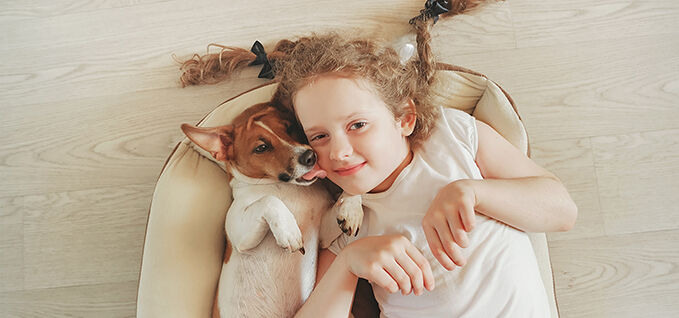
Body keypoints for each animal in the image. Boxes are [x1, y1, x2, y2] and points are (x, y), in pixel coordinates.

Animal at [181, 102, 362, 318]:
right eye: (261, 147)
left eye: (289, 128)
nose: (310, 156)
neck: (285, 187)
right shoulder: (240, 235)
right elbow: (269, 200)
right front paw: (289, 231)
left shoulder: (323, 234)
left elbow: (352, 190)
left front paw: (351, 208)